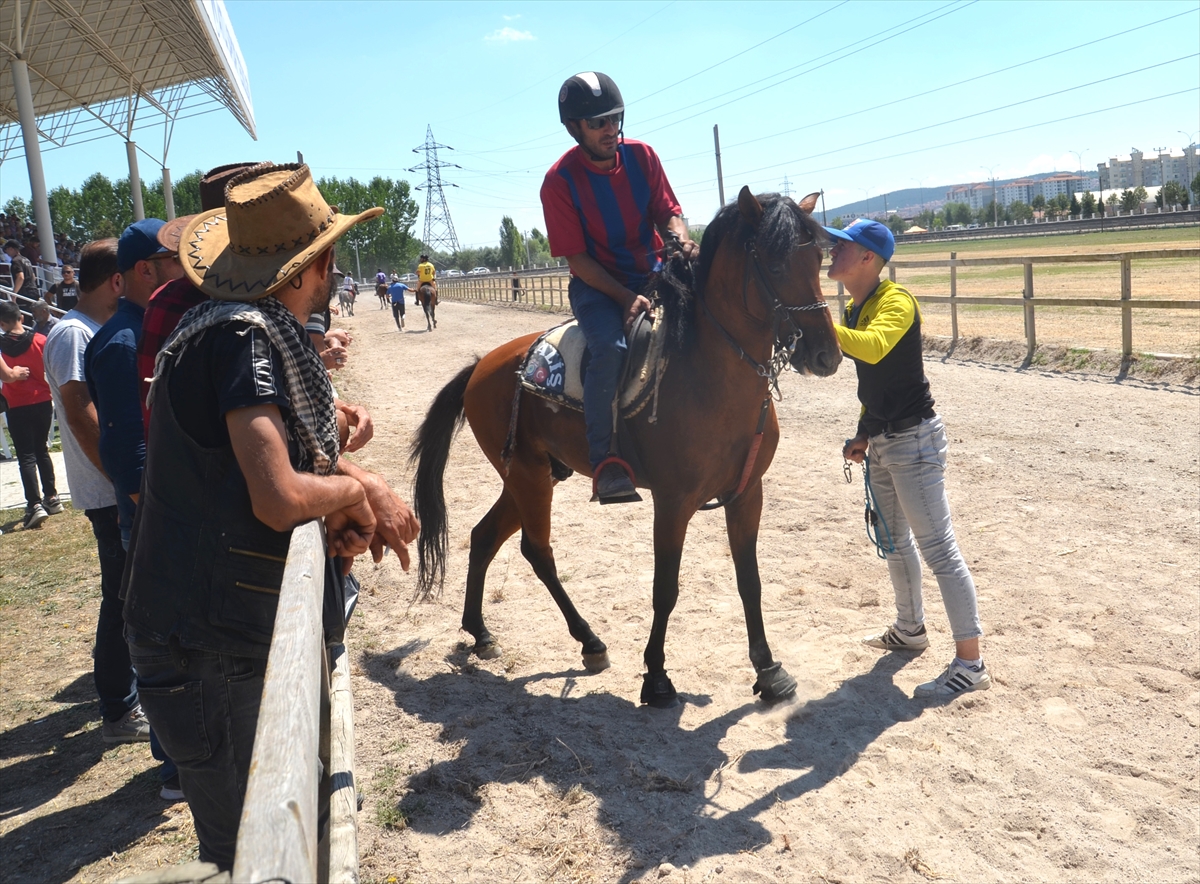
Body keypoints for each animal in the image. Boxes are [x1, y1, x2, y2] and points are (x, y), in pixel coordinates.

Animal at [410, 188, 841, 708]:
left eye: (818, 259)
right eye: (775, 264)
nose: (826, 355)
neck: (709, 374)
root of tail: (481, 366)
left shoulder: (746, 494)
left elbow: (749, 582)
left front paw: (768, 670)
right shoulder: (672, 503)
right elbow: (665, 588)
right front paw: (656, 677)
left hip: (531, 475)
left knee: (483, 537)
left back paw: (481, 632)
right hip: (528, 478)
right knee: (538, 551)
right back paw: (589, 640)